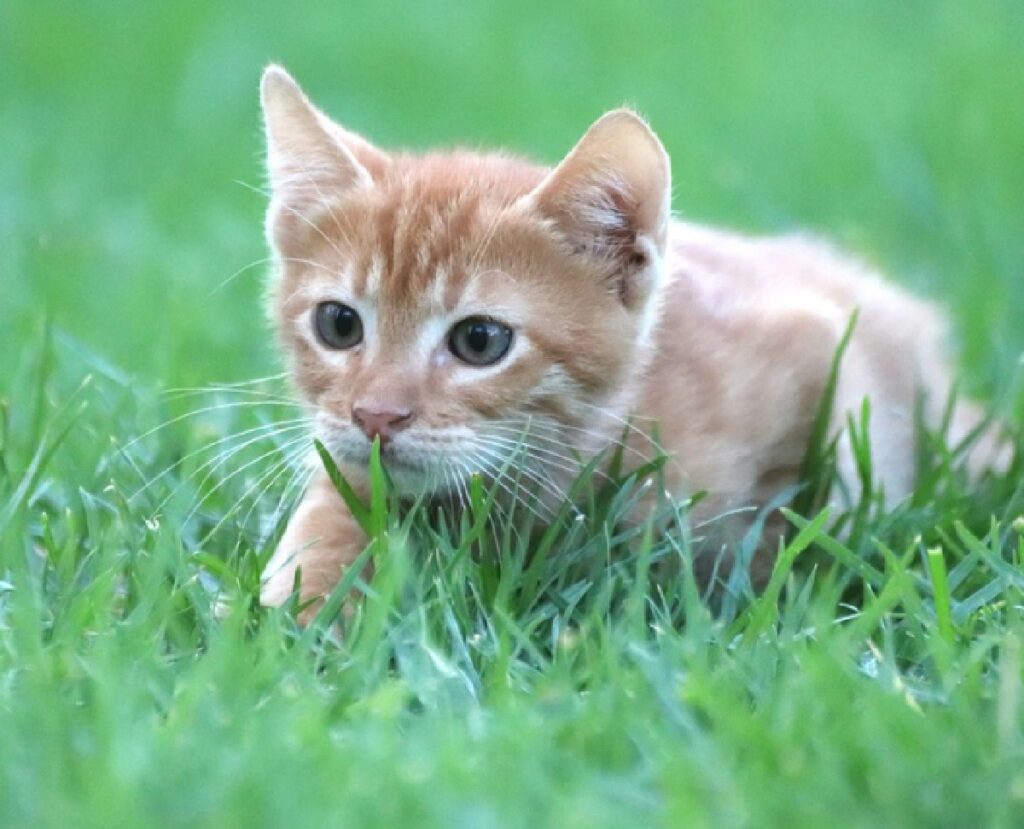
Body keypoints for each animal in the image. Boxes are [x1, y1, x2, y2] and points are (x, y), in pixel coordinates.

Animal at [253, 64, 999, 605]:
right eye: (339, 324)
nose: (376, 415)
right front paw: (305, 602)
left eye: (480, 341)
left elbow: (806, 515)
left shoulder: (821, 351)